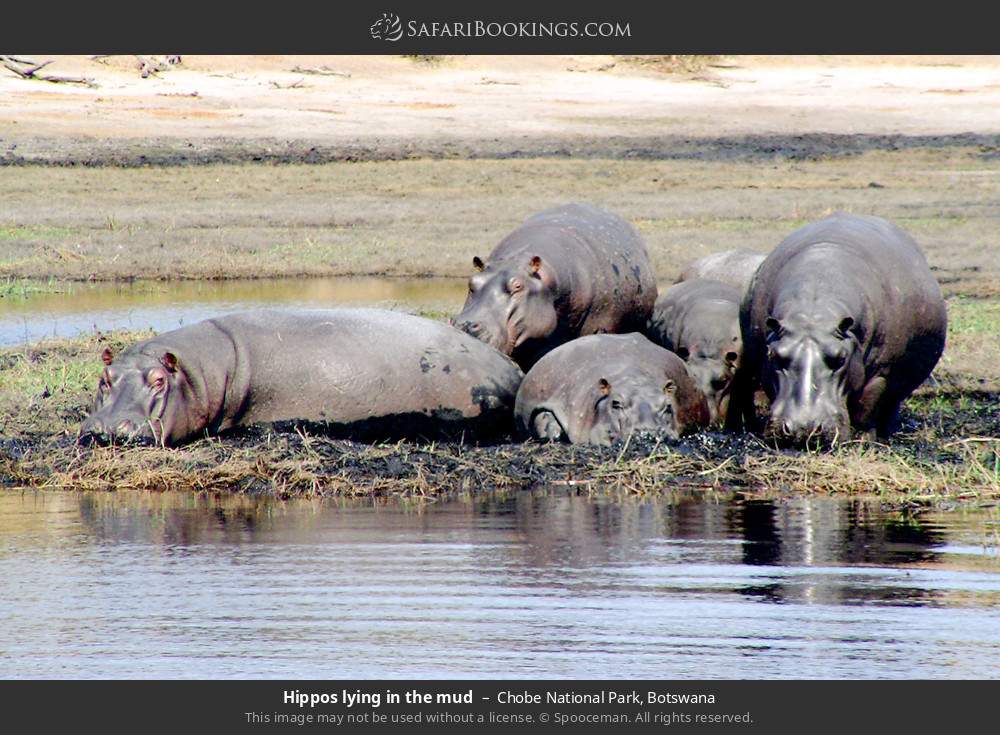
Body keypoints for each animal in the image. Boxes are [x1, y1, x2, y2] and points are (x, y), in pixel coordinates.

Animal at [730, 212, 947, 444]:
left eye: (840, 358)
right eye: (775, 356)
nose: (803, 429)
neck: (814, 310)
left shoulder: (881, 371)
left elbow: (867, 405)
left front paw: (863, 439)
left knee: (889, 404)